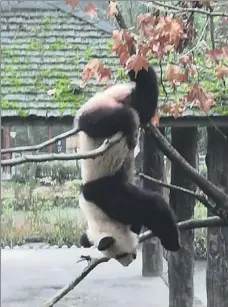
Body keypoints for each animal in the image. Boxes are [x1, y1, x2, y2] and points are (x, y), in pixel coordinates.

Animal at [75, 65, 180, 268]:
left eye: (120, 254)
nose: (129, 262)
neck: (96, 216)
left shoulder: (104, 193)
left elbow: (150, 205)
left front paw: (172, 242)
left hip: (101, 107)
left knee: (94, 121)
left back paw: (130, 120)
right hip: (130, 100)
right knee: (145, 103)